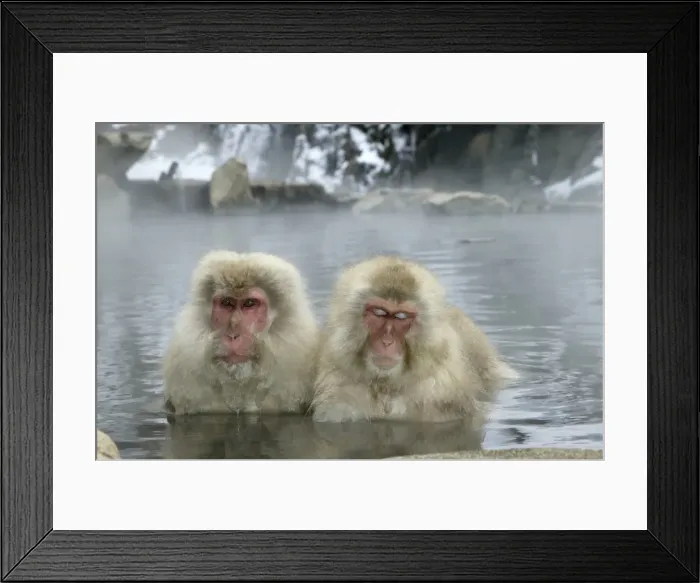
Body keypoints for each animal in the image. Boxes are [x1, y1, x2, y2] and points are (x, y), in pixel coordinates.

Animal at [310, 255, 518, 425]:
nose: (387, 342)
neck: (387, 387)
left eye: (401, 316)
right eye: (379, 312)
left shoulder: (439, 393)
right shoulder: (339, 391)